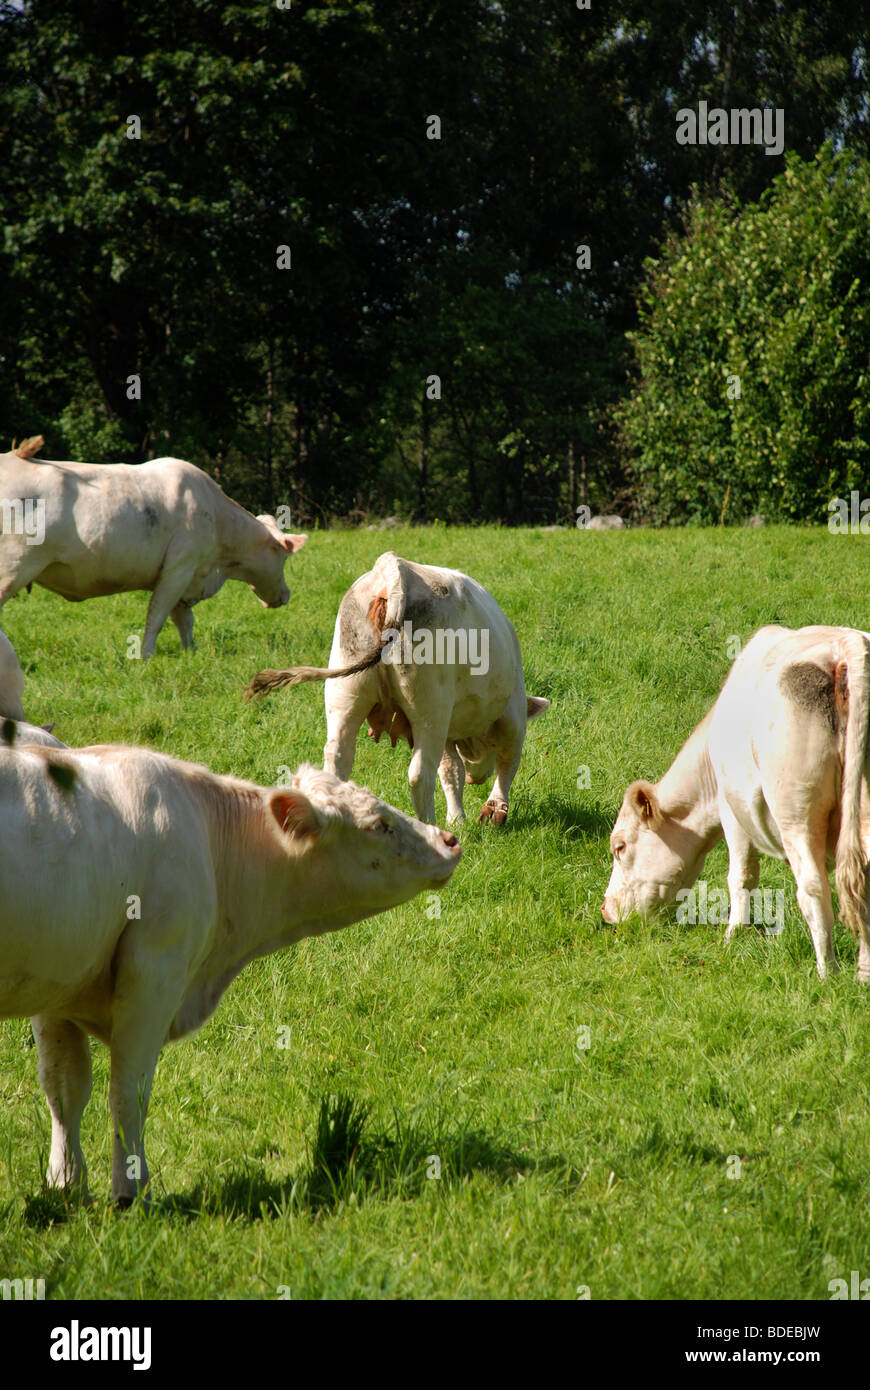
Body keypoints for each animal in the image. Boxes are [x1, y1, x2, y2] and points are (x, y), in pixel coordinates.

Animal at [0, 750, 461, 1206]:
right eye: (378, 824)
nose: (449, 840)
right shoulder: (155, 972)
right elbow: (129, 1092)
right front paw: (131, 1190)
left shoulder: (57, 982)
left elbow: (65, 1087)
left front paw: (65, 1184)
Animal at [244, 544, 544, 822]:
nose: (477, 779)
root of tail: (393, 568)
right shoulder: (512, 716)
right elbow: (505, 763)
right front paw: (491, 811)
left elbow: (451, 771)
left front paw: (458, 818)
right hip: (430, 710)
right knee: (420, 773)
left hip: (345, 697)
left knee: (337, 759)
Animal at [600, 625, 867, 984]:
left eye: (620, 846)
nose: (607, 911)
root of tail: (842, 645)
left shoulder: (732, 810)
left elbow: (741, 876)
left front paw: (732, 936)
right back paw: (864, 973)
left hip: (796, 815)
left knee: (813, 888)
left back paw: (828, 973)